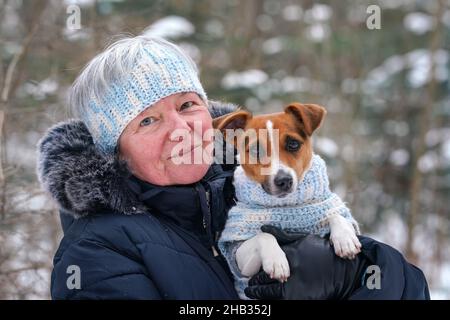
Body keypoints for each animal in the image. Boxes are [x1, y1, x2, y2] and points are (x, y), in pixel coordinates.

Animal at [215, 102, 362, 292]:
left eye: (293, 143)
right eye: (256, 150)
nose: (283, 180)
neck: (287, 206)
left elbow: (333, 213)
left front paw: (345, 238)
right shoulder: (239, 257)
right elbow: (263, 235)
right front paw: (276, 261)